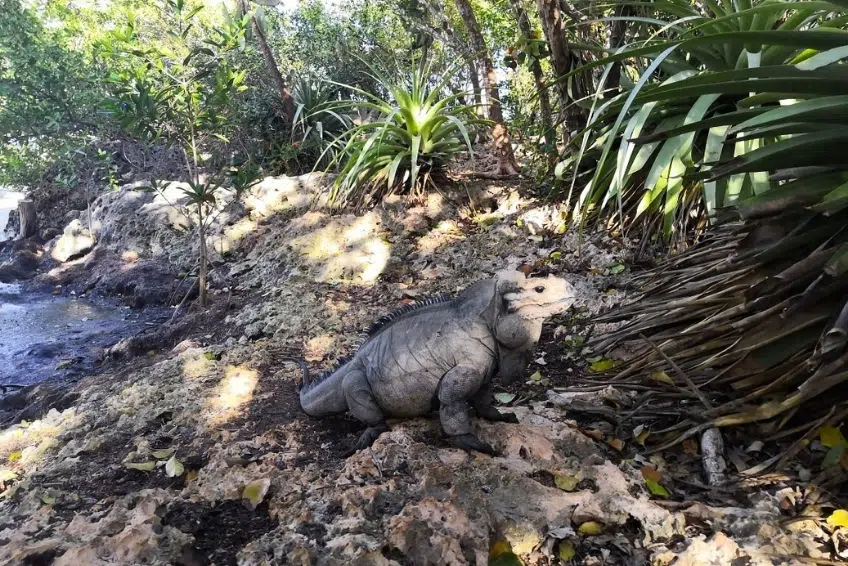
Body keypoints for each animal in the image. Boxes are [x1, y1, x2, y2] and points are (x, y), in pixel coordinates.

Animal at [295, 270, 576, 454]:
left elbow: (484, 400)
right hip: (354, 377)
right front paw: (469, 441)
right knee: (363, 402)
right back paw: (372, 431)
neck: (489, 320)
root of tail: (354, 360)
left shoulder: (486, 368)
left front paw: (498, 416)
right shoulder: (467, 368)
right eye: (539, 289)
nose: (571, 289)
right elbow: (450, 399)